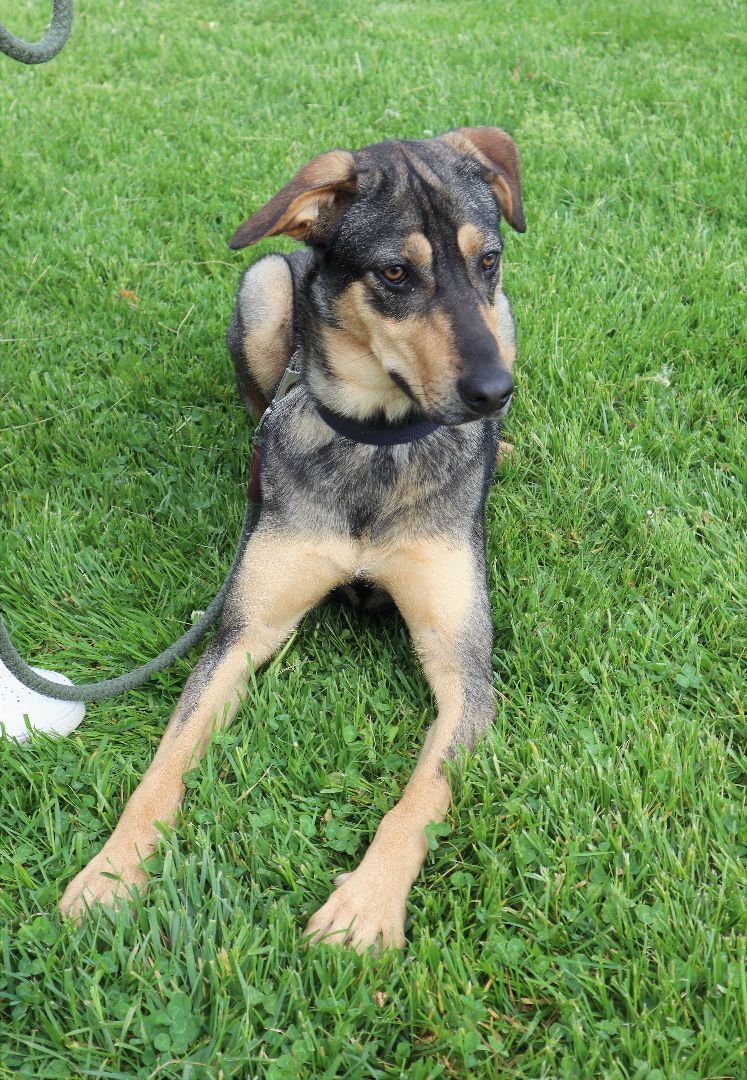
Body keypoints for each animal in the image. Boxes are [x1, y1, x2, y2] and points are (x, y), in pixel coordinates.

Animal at [58, 128, 524, 954]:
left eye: (486, 260)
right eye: (394, 273)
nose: (492, 394)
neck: (376, 441)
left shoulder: (464, 669)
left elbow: (420, 796)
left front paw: (365, 906)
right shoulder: (242, 634)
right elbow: (163, 766)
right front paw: (111, 872)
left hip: (505, 324)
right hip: (265, 284)